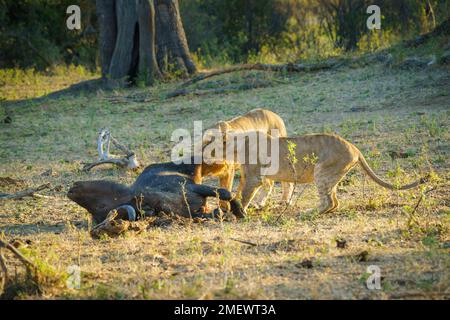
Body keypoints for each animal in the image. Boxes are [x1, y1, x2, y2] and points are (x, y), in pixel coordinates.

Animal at [218, 131, 428, 214]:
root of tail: (355, 148)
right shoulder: (248, 176)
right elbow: (239, 192)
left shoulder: (254, 178)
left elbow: (245, 195)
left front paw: (238, 212)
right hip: (331, 176)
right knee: (335, 202)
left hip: (321, 171)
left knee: (328, 201)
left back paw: (309, 212)